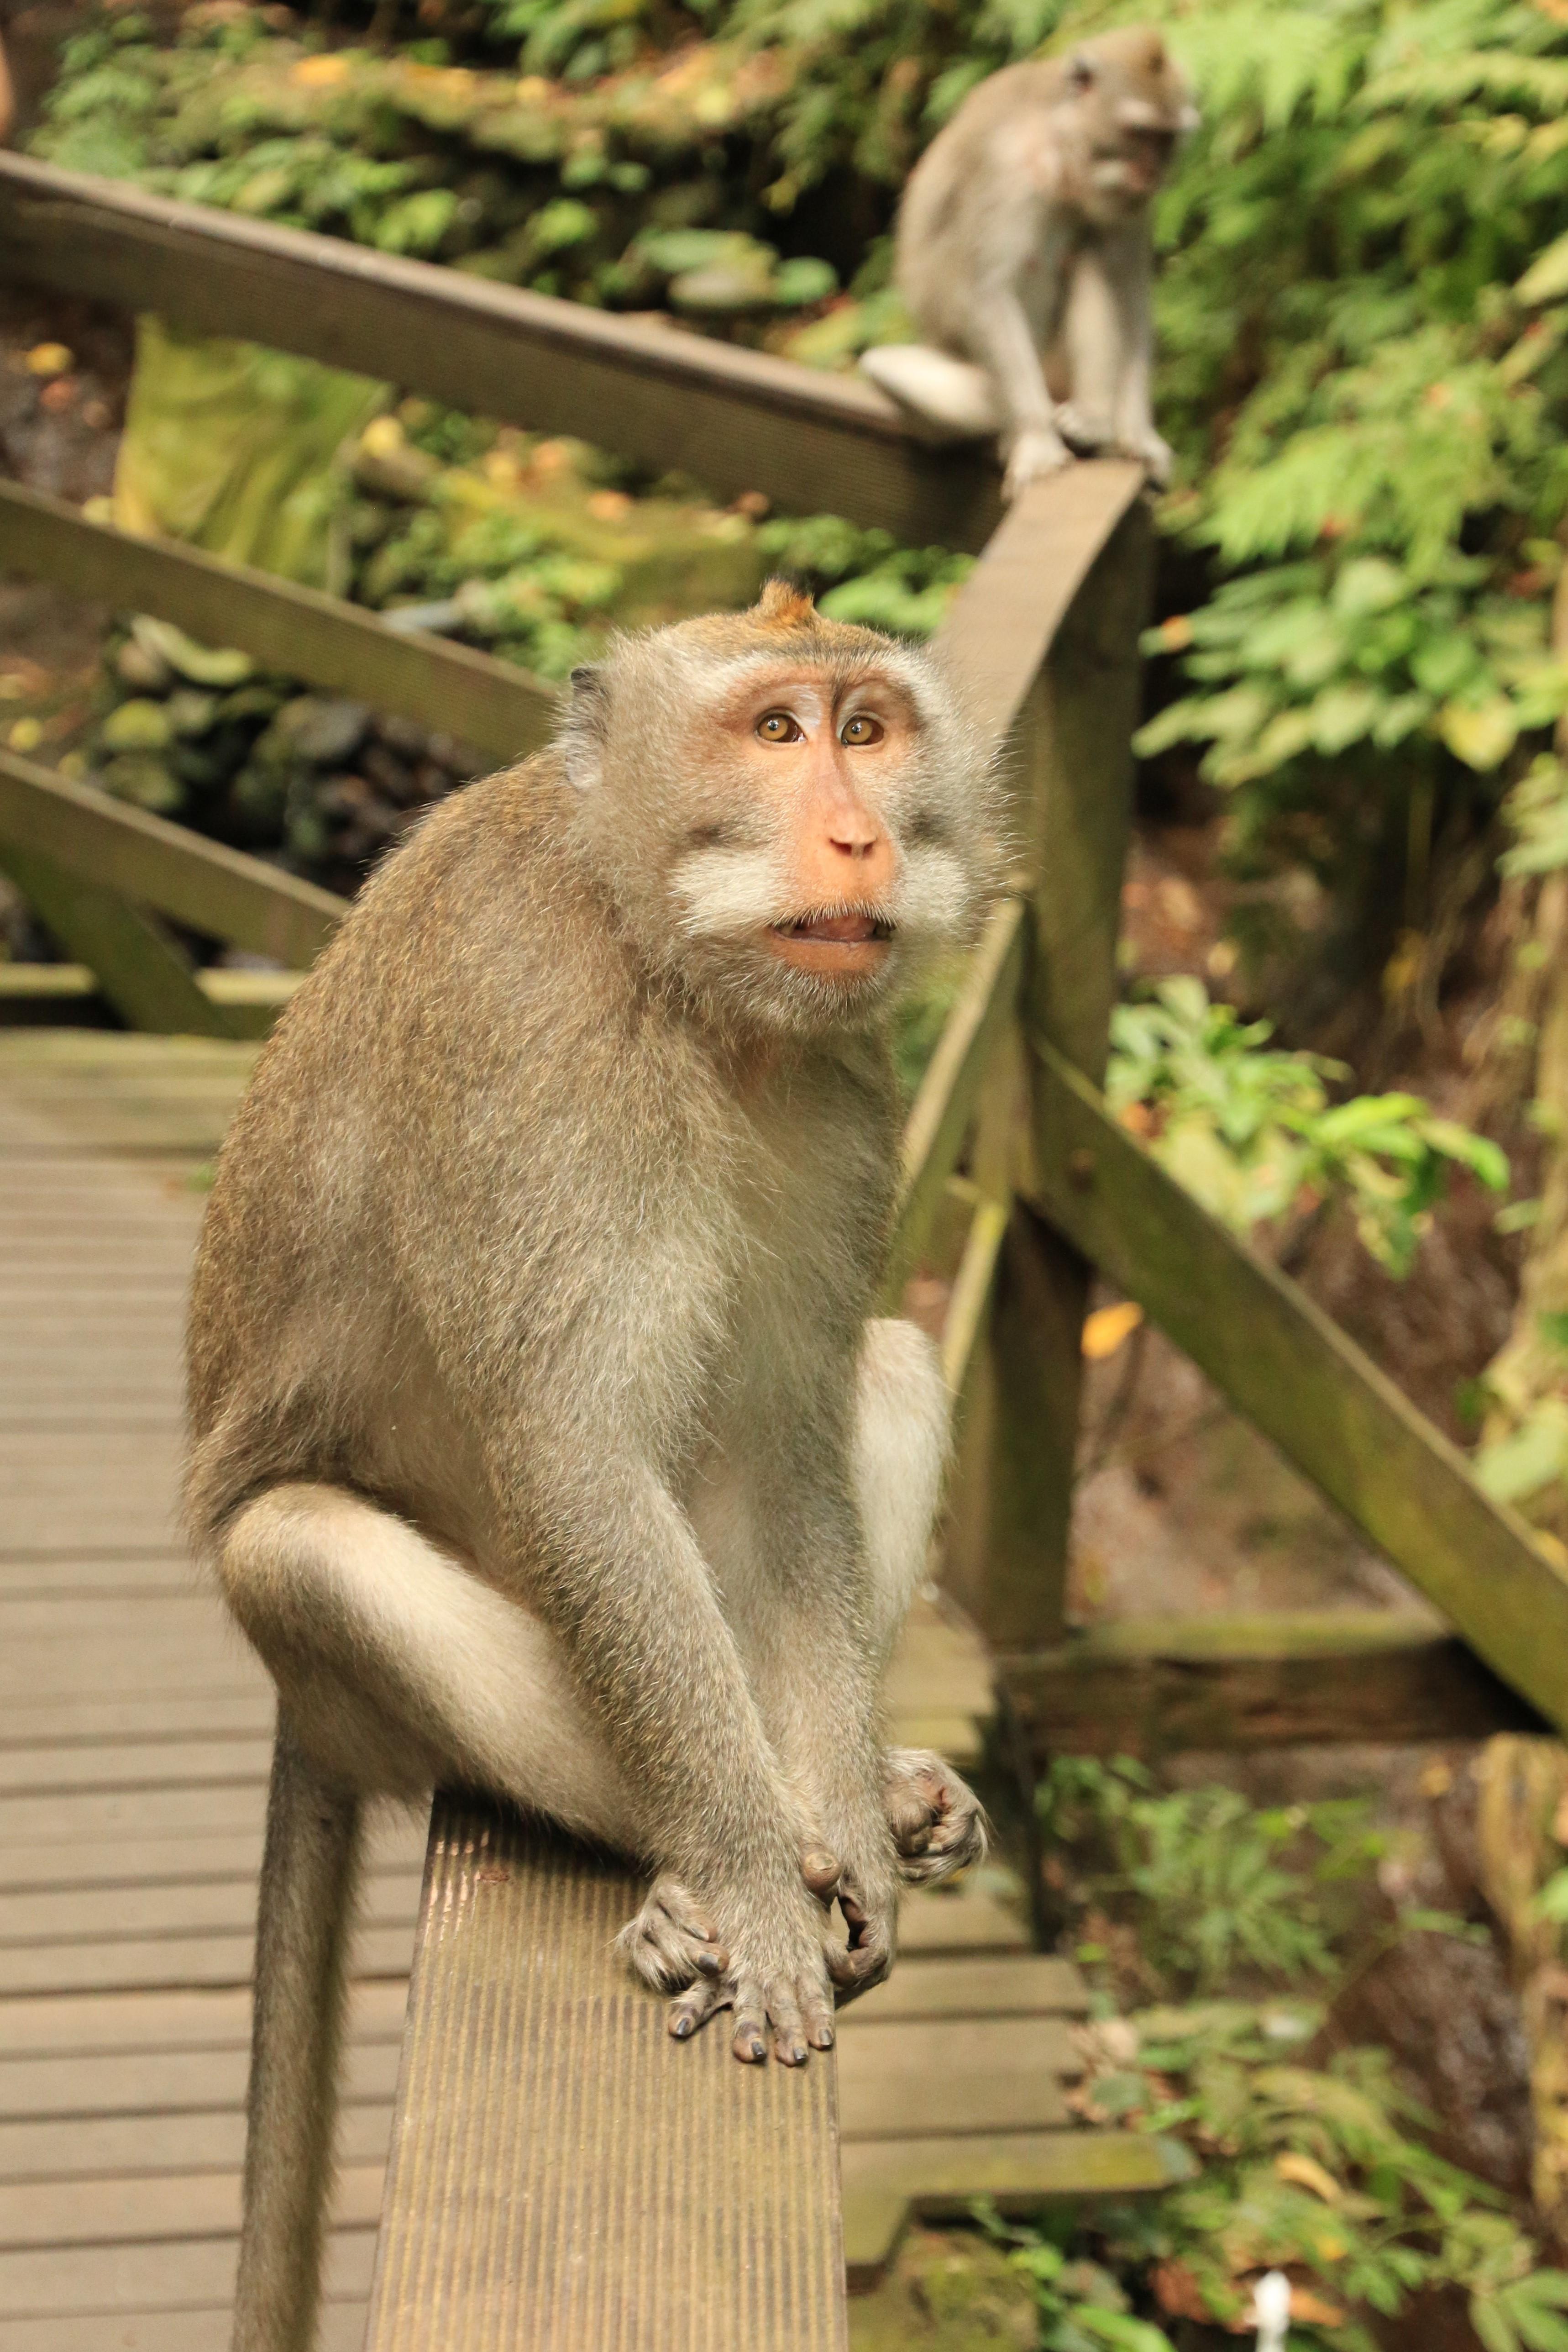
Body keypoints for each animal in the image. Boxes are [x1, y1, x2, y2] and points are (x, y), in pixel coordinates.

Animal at [185, 581, 999, 2352]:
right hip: (339, 1658)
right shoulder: (528, 1039)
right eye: (774, 730)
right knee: (303, 1546)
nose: (855, 836)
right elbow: (574, 1459)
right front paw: (757, 1883)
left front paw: (841, 1828)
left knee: (887, 1363)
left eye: (867, 728)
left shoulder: (836, 1089)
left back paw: (867, 1790)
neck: (674, 977)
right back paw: (693, 1860)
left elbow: (783, 1452)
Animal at [860, 26, 1197, 500]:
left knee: (1091, 258)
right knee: (885, 368)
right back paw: (1015, 433)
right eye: (1139, 132)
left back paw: (1092, 418)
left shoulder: (1129, 205)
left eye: (1166, 139)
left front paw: (1139, 434)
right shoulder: (1003, 168)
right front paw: (1036, 441)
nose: (1152, 175)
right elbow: (988, 292)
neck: (1060, 151)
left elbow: (1132, 296)